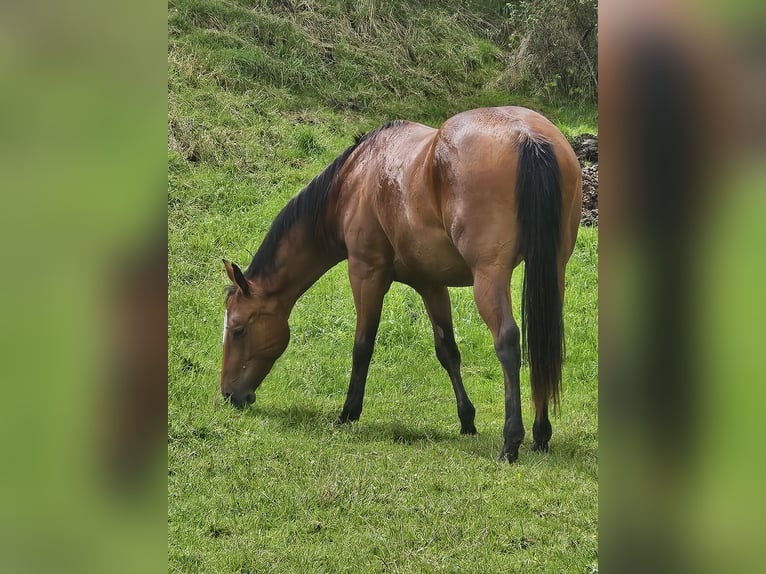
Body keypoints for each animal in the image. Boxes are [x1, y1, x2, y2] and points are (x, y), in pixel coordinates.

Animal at [220, 106, 582, 463]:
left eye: (238, 329)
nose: (228, 394)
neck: (353, 180)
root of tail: (527, 136)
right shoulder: (431, 284)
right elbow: (448, 351)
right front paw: (467, 420)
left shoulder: (366, 274)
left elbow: (362, 346)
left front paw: (348, 412)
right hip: (553, 270)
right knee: (542, 343)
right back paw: (541, 435)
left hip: (489, 276)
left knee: (507, 342)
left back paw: (511, 441)